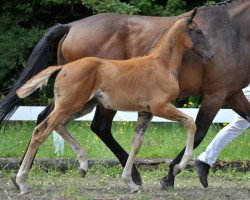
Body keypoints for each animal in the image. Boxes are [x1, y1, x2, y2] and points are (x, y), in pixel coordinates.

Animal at [0, 0, 249, 188]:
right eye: (197, 31)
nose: (211, 55)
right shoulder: (205, 97)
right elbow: (195, 127)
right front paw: (172, 173)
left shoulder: (148, 111)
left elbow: (137, 143)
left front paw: (133, 179)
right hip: (79, 104)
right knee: (53, 127)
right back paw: (22, 180)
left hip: (83, 104)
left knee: (54, 123)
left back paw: (78, 166)